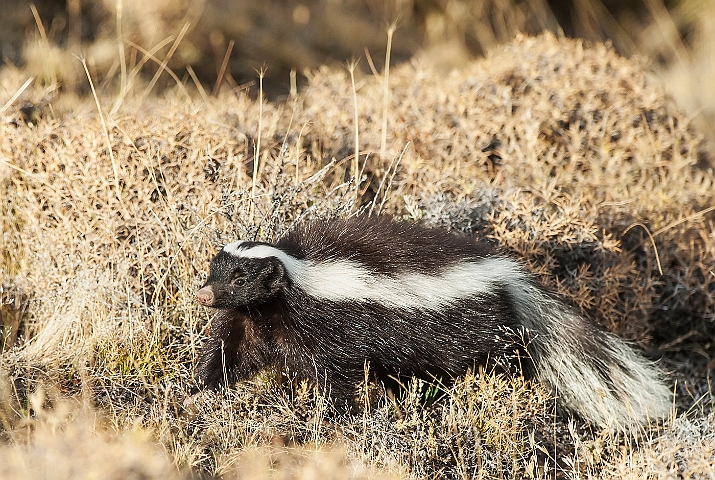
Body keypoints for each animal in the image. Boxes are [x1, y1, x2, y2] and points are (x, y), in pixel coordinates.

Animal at [194, 216, 672, 426]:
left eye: (239, 278)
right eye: (214, 271)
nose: (203, 294)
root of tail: (506, 275)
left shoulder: (328, 326)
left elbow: (336, 376)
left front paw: (337, 419)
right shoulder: (251, 321)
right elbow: (230, 354)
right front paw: (199, 390)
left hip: (469, 333)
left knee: (490, 363)